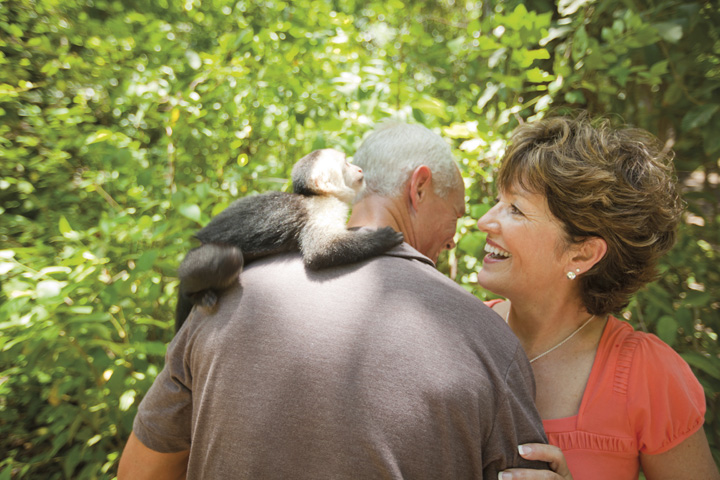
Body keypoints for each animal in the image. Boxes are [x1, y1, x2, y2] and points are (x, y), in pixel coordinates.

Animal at [172, 148, 402, 332]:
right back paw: (194, 295)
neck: (317, 195)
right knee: (229, 257)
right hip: (193, 260)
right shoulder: (321, 209)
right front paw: (383, 238)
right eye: (346, 163)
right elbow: (320, 251)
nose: (360, 170)